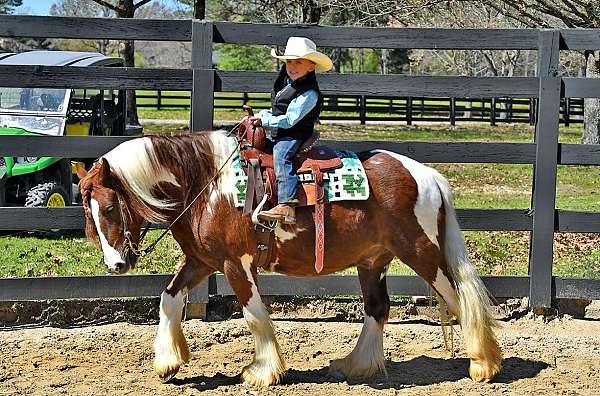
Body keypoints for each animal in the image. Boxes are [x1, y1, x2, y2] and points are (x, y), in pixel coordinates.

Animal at [77, 131, 504, 386]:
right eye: (88, 213)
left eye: (110, 208)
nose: (116, 265)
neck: (206, 186)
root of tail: (427, 176)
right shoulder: (202, 260)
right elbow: (168, 299)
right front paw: (168, 362)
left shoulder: (235, 264)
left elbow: (253, 315)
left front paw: (262, 371)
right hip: (372, 261)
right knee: (377, 309)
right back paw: (356, 365)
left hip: (421, 254)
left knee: (460, 299)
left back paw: (483, 364)